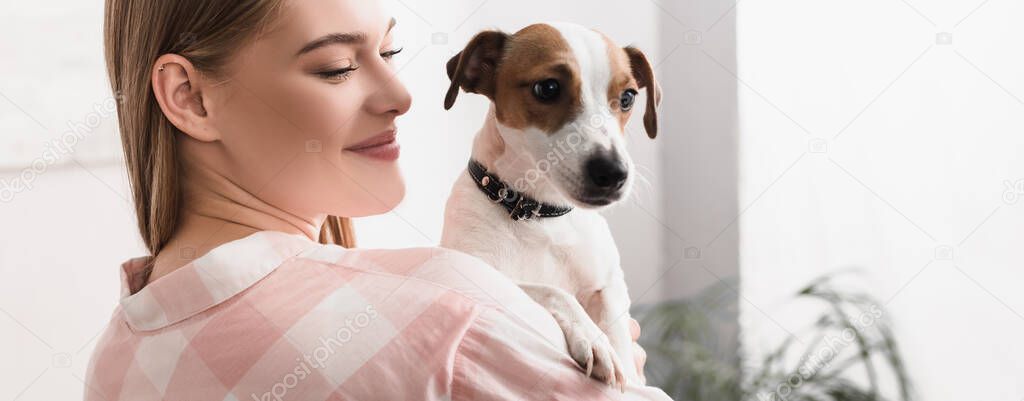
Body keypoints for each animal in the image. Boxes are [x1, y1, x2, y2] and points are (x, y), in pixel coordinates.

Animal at [436, 20, 659, 390]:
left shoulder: (610, 286)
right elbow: (554, 292)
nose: (614, 173)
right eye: (548, 88)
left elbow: (618, 334)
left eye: (628, 97)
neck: (540, 215)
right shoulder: (478, 274)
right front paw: (592, 339)